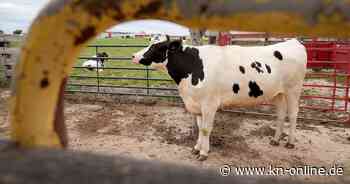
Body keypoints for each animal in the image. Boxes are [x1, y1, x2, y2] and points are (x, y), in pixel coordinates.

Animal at [132, 35, 306, 160]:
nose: (133, 55)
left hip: (293, 89)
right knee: (281, 114)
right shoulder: (197, 104)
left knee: (293, 114)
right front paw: (196, 148)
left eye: (157, 46)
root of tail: (293, 42)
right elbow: (199, 128)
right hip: (278, 93)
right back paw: (275, 140)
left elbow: (205, 129)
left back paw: (290, 143)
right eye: (150, 42)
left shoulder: (209, 104)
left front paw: (203, 153)